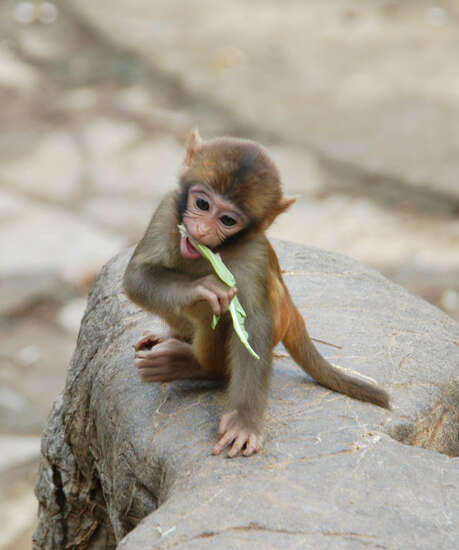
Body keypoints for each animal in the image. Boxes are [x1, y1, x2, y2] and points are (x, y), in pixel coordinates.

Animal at [124, 132, 390, 460]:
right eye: (202, 203)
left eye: (227, 220)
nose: (202, 230)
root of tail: (292, 308)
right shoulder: (167, 209)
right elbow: (136, 276)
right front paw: (200, 287)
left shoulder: (253, 253)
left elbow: (250, 325)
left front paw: (244, 422)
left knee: (220, 315)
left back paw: (193, 365)